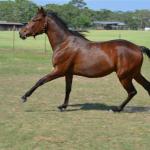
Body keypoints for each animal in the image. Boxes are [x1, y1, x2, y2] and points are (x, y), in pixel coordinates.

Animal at [19, 7, 150, 112]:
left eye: (35, 19)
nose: (21, 33)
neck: (64, 44)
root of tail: (138, 47)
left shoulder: (59, 70)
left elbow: (40, 81)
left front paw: (24, 97)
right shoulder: (68, 73)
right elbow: (68, 89)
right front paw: (63, 106)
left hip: (124, 76)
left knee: (132, 92)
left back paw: (116, 108)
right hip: (134, 74)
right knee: (146, 87)